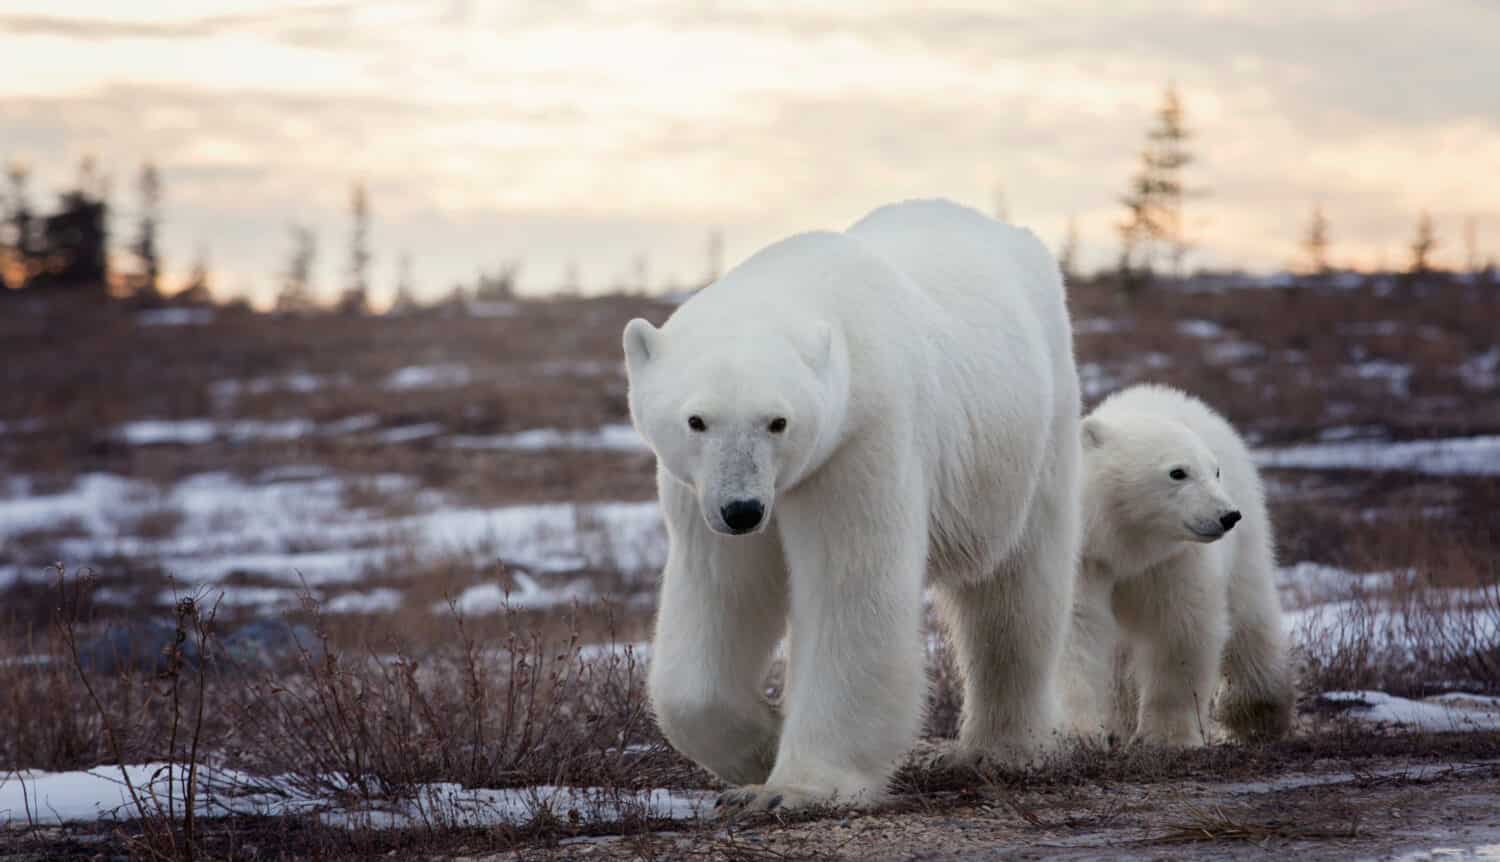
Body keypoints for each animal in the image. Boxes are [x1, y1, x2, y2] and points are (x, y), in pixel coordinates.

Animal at [623, 199, 1081, 814]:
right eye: (696, 420)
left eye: (778, 421)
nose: (742, 510)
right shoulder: (698, 493)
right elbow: (723, 591)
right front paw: (760, 748)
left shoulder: (859, 440)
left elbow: (849, 587)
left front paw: (794, 788)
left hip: (1031, 439)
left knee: (1016, 593)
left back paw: (1002, 750)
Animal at [1062, 383, 1294, 747]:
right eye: (1178, 472)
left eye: (1215, 470)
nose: (1228, 516)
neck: (1124, 542)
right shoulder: (1086, 557)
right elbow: (1077, 628)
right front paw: (1078, 735)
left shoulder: (1174, 560)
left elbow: (1179, 629)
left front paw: (1166, 737)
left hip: (1248, 534)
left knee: (1249, 613)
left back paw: (1258, 712)